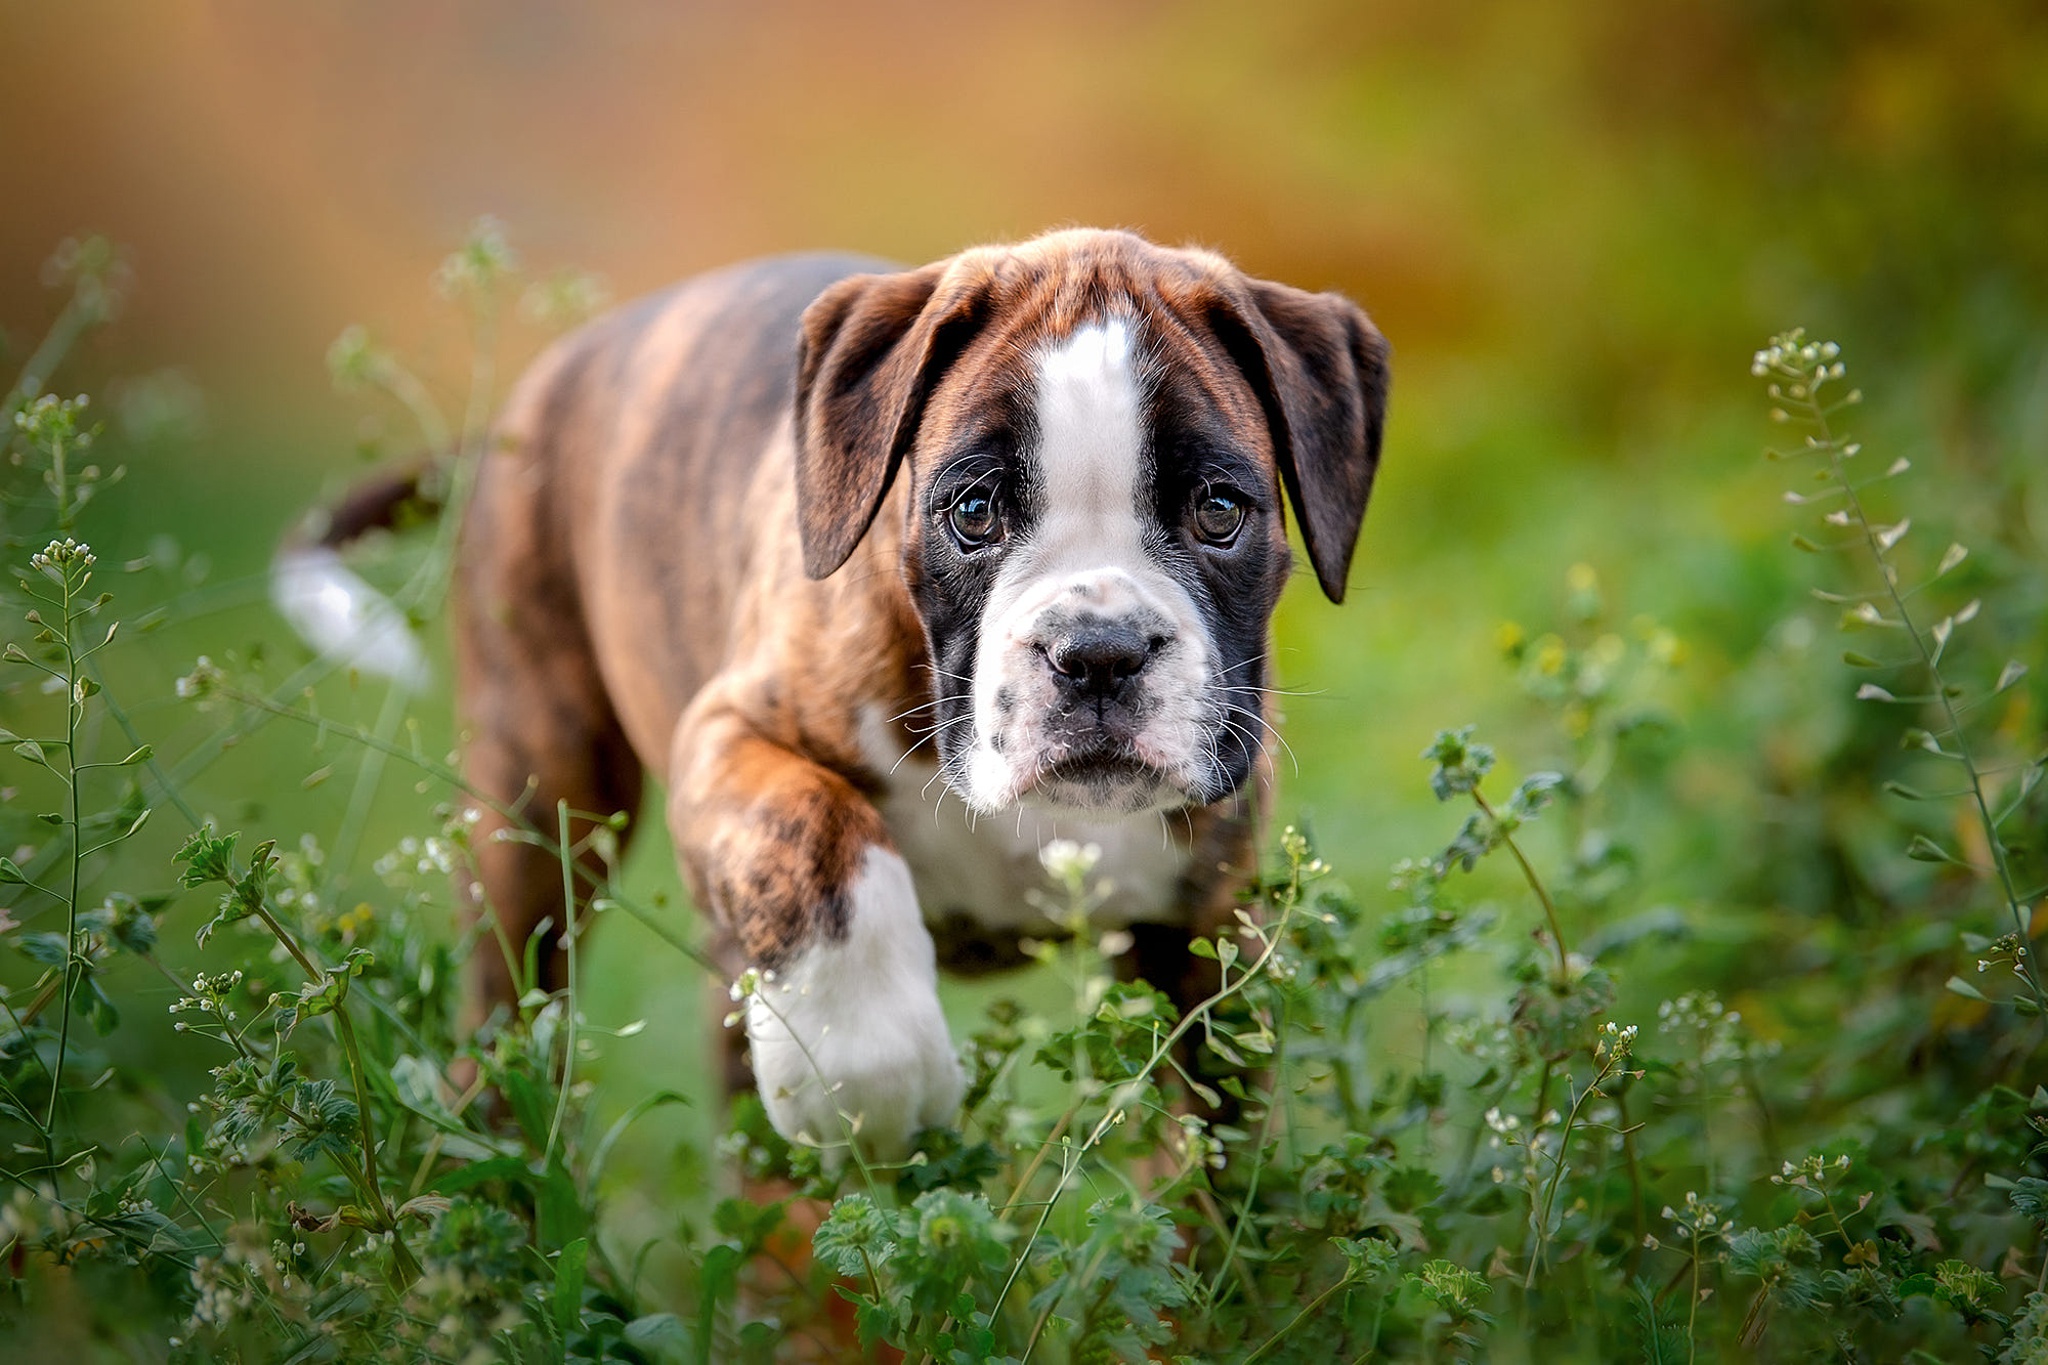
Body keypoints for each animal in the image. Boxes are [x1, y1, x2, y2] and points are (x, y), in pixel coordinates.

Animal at [280, 229, 1384, 1162]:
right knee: (512, 1015)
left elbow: (1212, 1175)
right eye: (973, 511)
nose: (1098, 651)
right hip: (540, 798)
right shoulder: (727, 734)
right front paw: (866, 1072)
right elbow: (813, 830)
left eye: (1220, 510)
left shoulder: (1204, 944)